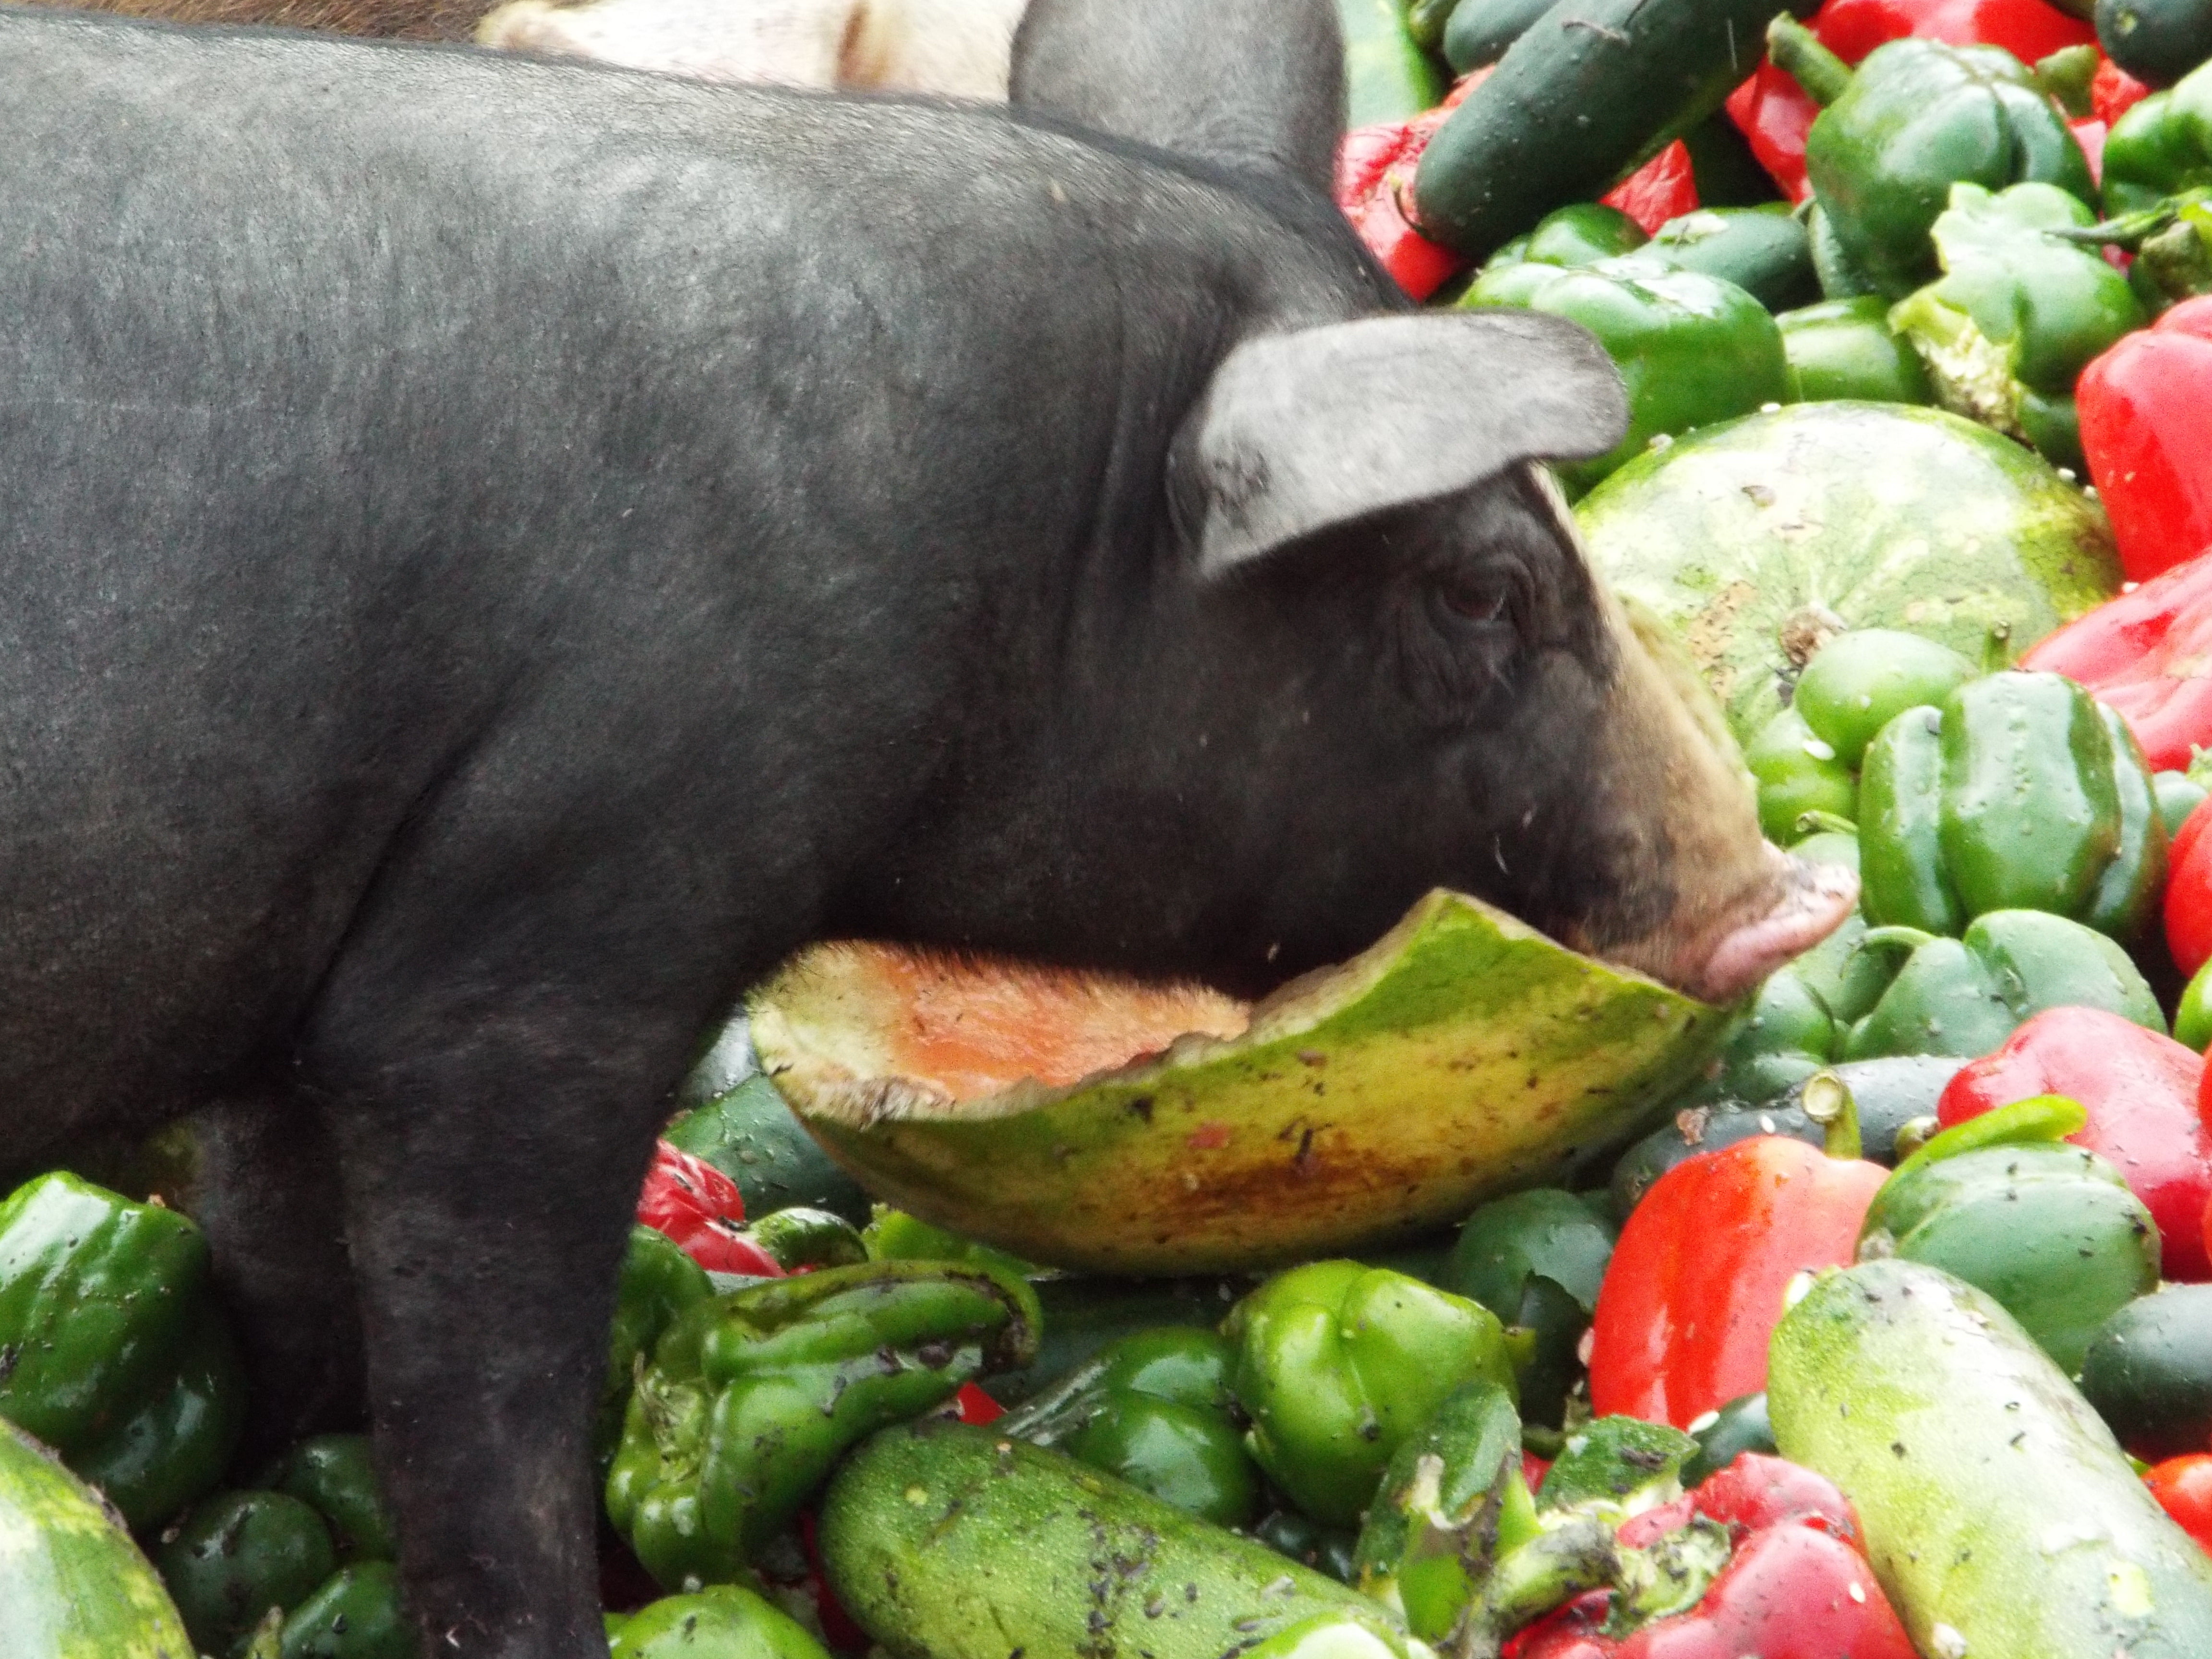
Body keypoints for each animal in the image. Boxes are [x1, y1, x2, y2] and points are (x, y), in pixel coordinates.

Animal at [0, 6, 1849, 1654]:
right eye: (1481, 591)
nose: (1790, 893)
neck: (1023, 517)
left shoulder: (298, 983)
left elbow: (284, 1268)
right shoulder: (534, 944)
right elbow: (486, 1424)